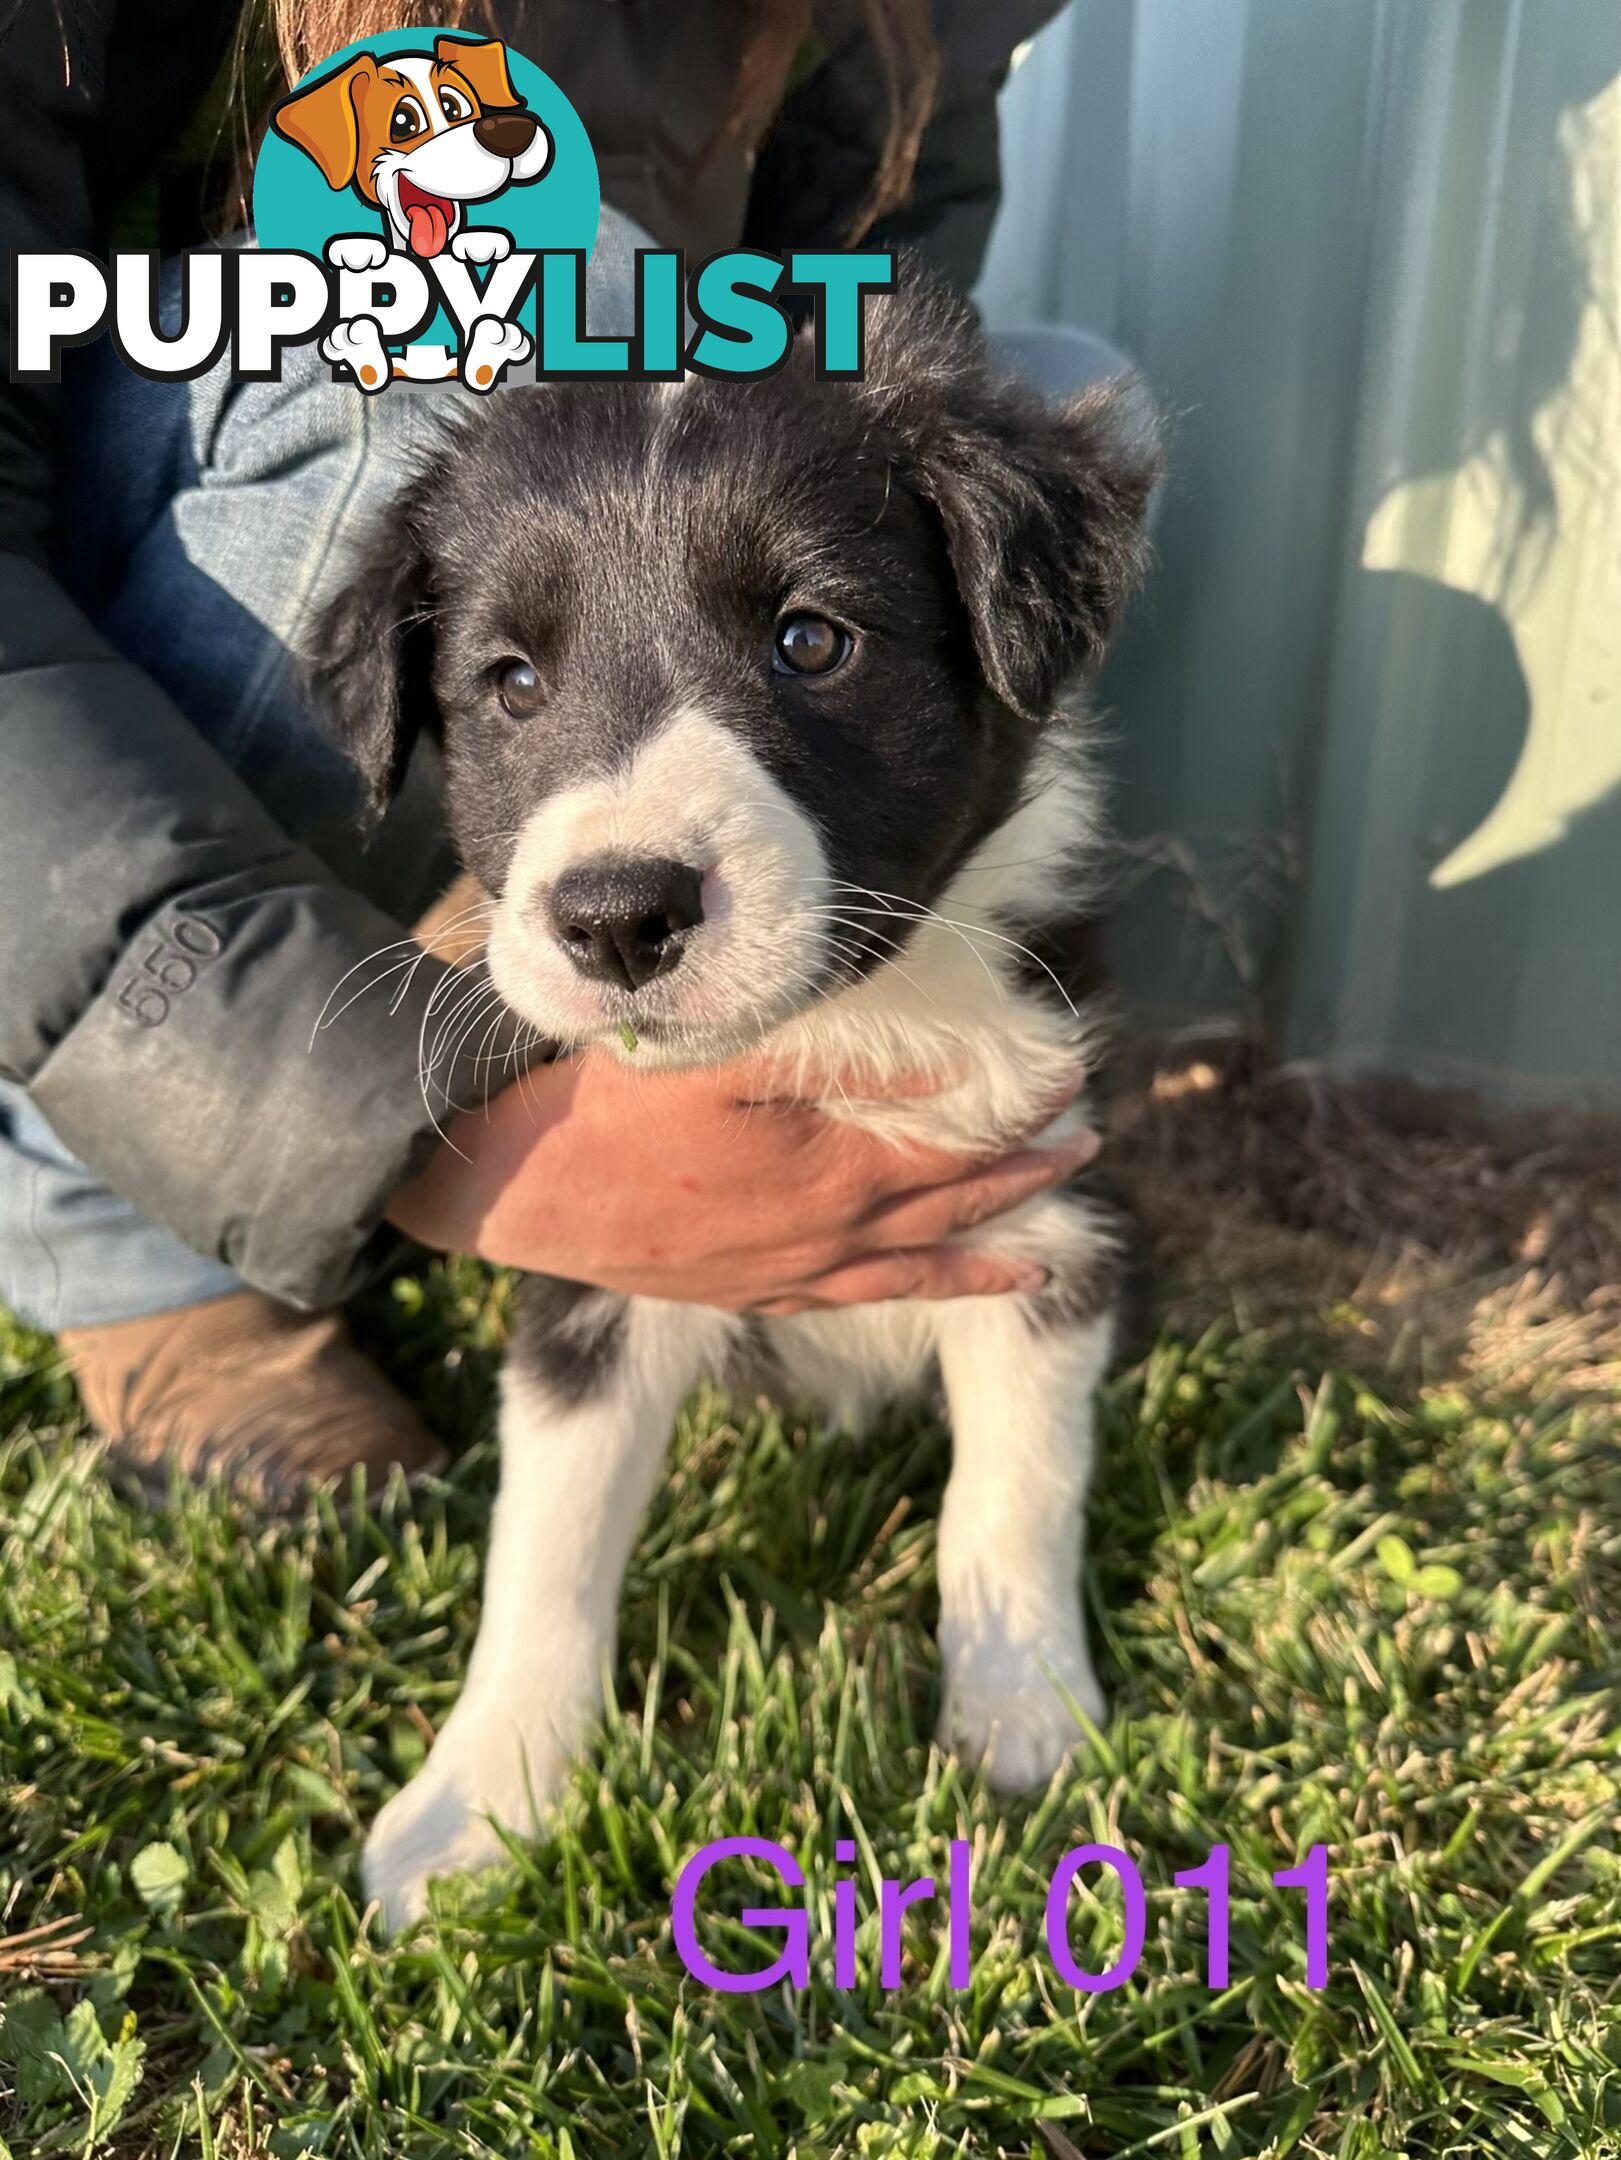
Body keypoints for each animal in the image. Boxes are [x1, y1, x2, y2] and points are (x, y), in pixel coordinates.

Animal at [313, 270, 1158, 1926]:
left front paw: (1027, 1722)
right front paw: (477, 1810)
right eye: (512, 684)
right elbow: (547, 1543)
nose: (616, 917)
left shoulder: (1046, 1209)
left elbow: (1014, 1490)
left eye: (810, 641)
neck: (841, 1030)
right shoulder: (598, 1253)